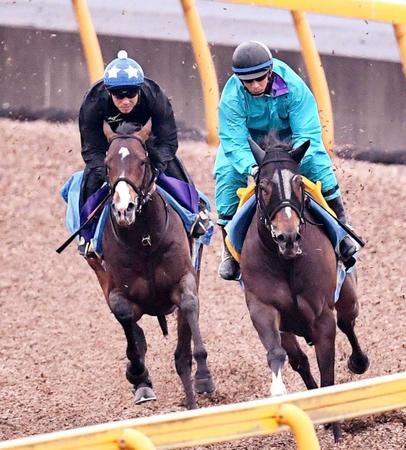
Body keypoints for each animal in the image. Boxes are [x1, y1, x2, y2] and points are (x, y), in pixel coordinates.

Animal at [88, 120, 216, 408]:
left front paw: (204, 377)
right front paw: (138, 374)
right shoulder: (116, 292)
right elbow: (126, 320)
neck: (144, 241)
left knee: (182, 348)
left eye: (142, 161)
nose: (124, 209)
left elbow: (189, 305)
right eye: (107, 164)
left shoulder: (185, 279)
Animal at [239, 136, 370, 440]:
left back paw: (359, 361)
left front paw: (337, 433)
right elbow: (278, 353)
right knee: (299, 359)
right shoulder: (263, 308)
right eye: (263, 187)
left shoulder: (322, 315)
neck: (286, 261)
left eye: (299, 183)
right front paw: (279, 392)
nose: (288, 236)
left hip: (348, 296)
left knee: (348, 323)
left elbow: (328, 369)